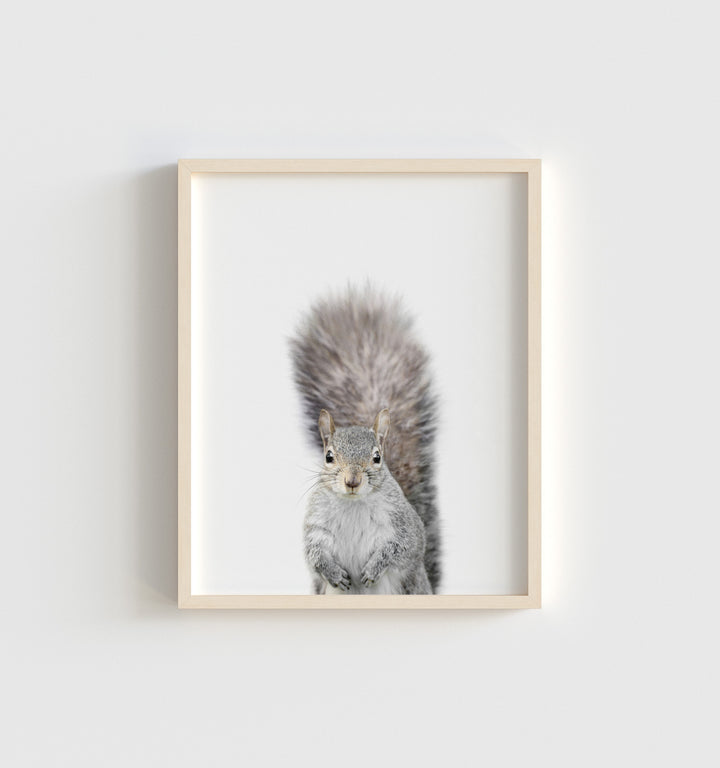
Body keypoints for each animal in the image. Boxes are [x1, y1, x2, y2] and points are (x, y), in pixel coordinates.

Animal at [290, 286, 441, 595]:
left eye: (377, 457)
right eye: (329, 456)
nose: (352, 481)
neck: (353, 504)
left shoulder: (404, 528)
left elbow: (400, 548)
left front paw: (373, 569)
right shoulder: (315, 528)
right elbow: (315, 556)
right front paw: (333, 573)